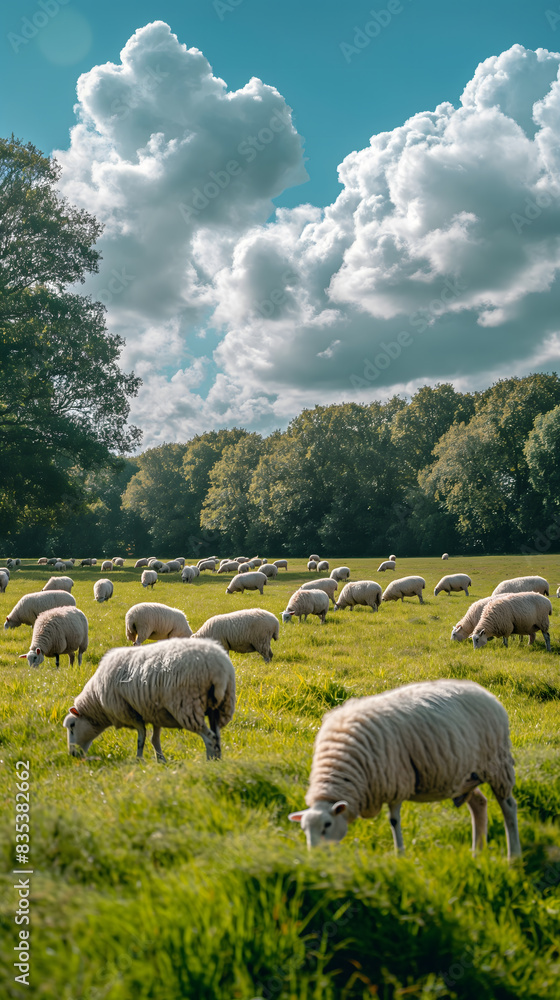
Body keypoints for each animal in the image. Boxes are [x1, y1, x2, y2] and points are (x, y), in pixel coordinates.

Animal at [63, 637, 236, 762]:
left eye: (72, 726)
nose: (72, 754)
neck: (97, 702)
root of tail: (218, 668)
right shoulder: (154, 711)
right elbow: (154, 739)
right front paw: (161, 760)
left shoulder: (130, 713)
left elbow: (141, 738)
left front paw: (139, 760)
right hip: (219, 707)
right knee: (217, 737)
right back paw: (218, 762)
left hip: (187, 705)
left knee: (210, 738)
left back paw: (210, 762)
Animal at [288, 678, 520, 860]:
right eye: (304, 829)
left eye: (327, 825)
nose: (314, 857)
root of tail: (486, 693)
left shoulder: (396, 781)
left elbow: (394, 821)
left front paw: (400, 854)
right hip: (467, 777)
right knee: (479, 803)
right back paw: (477, 852)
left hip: (498, 764)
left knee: (508, 806)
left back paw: (513, 857)